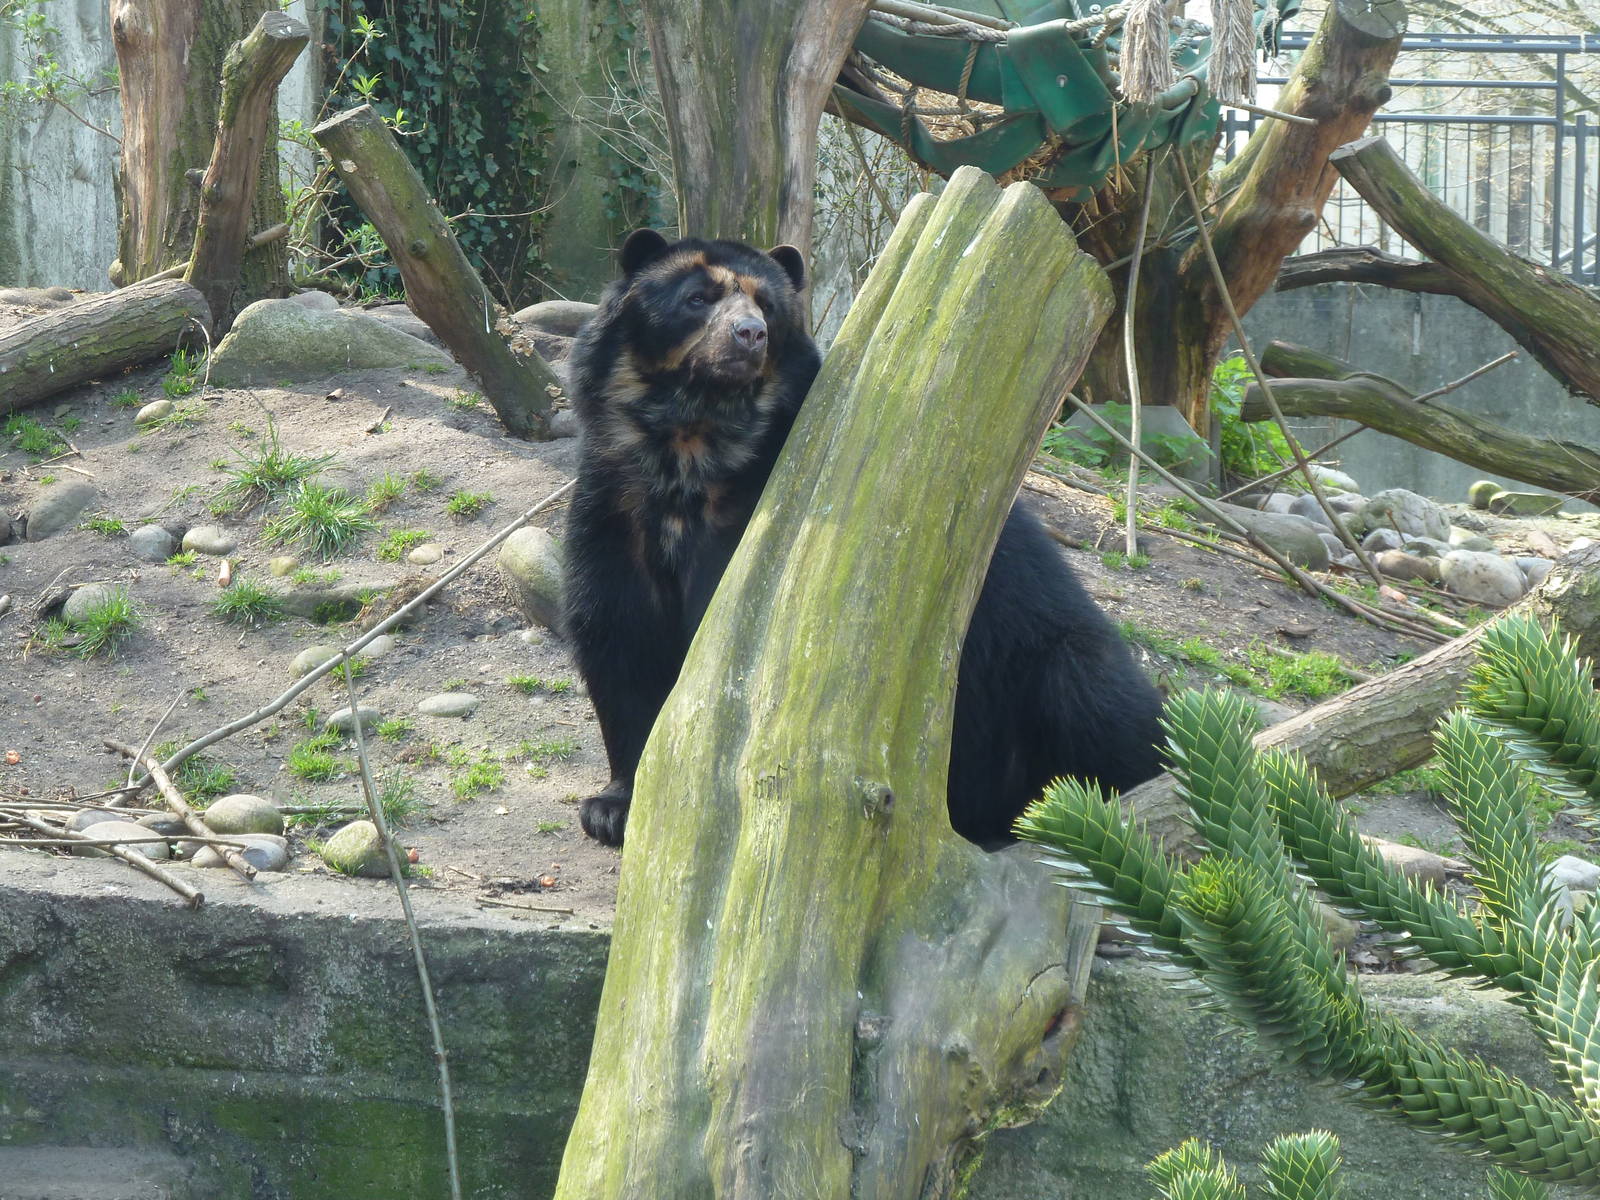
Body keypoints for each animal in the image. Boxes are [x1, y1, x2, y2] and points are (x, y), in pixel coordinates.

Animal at [562, 228, 1165, 847]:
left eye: (768, 307)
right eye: (697, 299)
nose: (749, 334)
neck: (692, 448)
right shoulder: (613, 509)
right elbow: (618, 635)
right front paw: (612, 807)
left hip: (1055, 663)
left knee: (1100, 703)